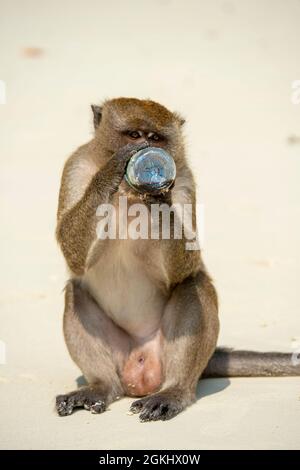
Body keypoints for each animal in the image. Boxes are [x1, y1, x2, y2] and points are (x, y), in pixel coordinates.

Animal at [55, 97, 298, 420]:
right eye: (134, 135)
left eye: (156, 138)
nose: (146, 149)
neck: (129, 195)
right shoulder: (76, 166)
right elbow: (73, 256)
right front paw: (111, 171)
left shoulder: (184, 179)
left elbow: (187, 267)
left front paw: (160, 196)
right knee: (76, 292)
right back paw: (100, 386)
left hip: (164, 356)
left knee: (194, 285)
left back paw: (174, 391)